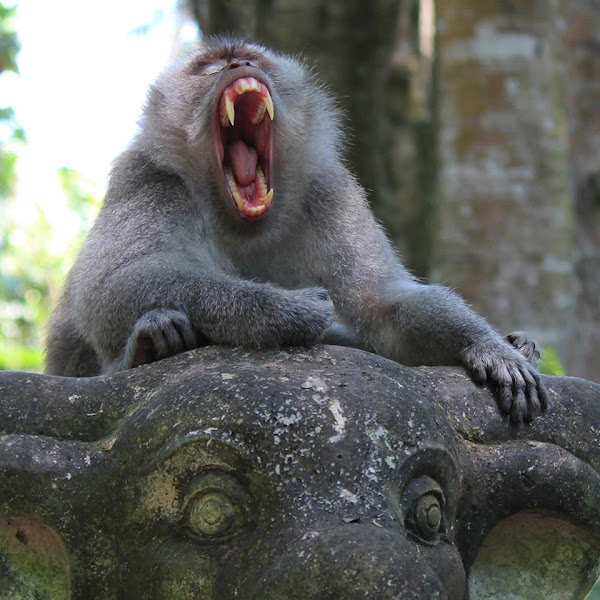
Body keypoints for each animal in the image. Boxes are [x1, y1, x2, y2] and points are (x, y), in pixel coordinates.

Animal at [43, 37, 548, 422]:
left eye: (252, 58)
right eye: (210, 67)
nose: (239, 65)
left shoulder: (331, 191)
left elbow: (381, 304)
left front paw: (485, 345)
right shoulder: (146, 179)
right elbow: (113, 283)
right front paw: (283, 311)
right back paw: (151, 343)